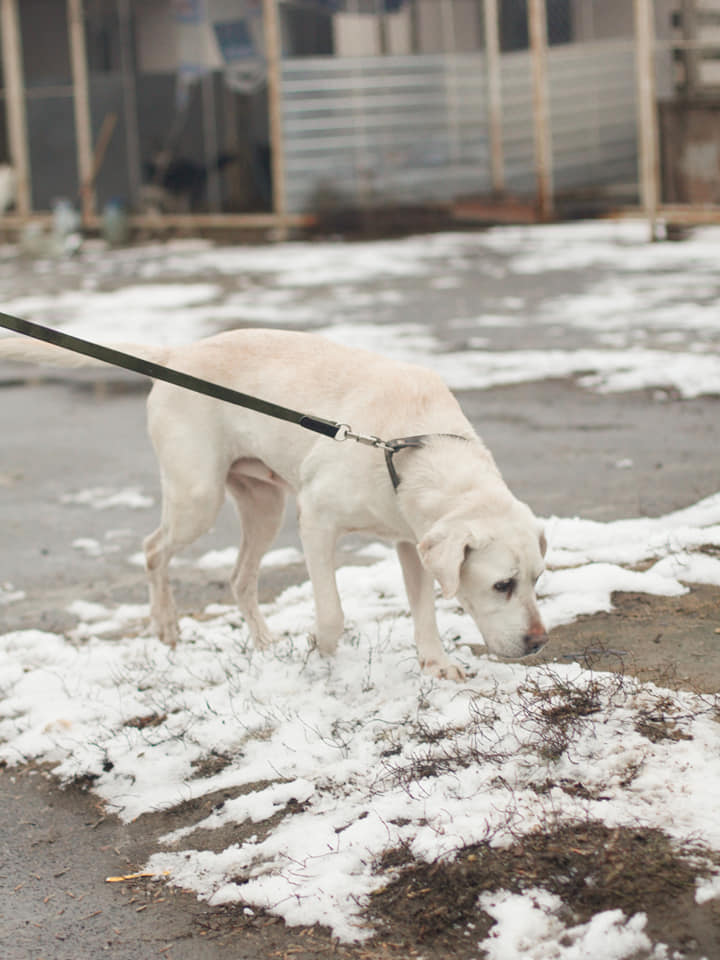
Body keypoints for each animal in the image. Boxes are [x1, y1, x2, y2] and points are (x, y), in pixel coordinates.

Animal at [0, 326, 544, 680]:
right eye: (502, 584)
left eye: (537, 580)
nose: (539, 643)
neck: (411, 445)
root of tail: (177, 356)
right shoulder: (316, 521)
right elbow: (332, 613)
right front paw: (320, 652)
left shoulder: (411, 541)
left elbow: (424, 610)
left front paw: (436, 664)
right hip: (198, 497)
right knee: (154, 549)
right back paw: (167, 626)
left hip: (264, 508)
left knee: (240, 579)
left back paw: (261, 643)